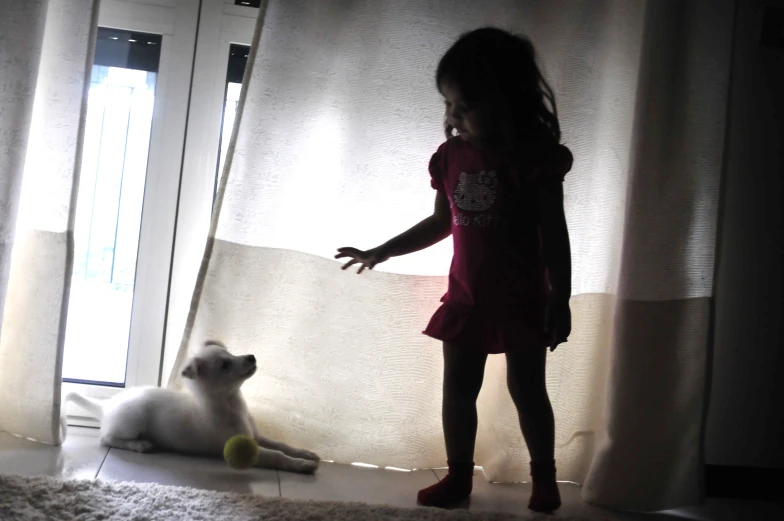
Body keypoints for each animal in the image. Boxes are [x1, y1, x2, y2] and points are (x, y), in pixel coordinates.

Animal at [59, 340, 320, 474]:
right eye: (225, 365)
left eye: (230, 353)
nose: (252, 357)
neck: (231, 403)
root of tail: (107, 406)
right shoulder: (250, 447)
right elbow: (277, 455)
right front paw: (302, 465)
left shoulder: (255, 436)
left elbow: (281, 445)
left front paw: (306, 453)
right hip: (132, 420)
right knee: (107, 439)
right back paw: (139, 444)